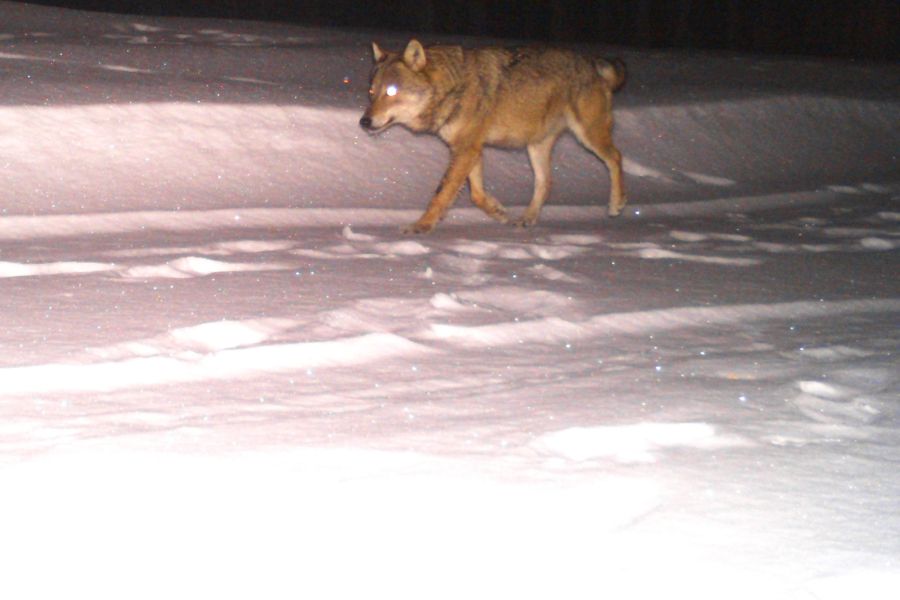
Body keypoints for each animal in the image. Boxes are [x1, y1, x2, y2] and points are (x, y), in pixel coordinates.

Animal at [358, 39, 624, 232]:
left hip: (588, 135)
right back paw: (527, 219)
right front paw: (498, 212)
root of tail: (593, 62)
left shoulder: (467, 149)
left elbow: (441, 193)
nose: (364, 121)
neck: (452, 87)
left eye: (392, 91)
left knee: (615, 157)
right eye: (371, 92)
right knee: (545, 182)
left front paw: (421, 226)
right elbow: (476, 194)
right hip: (536, 146)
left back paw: (616, 204)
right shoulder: (470, 149)